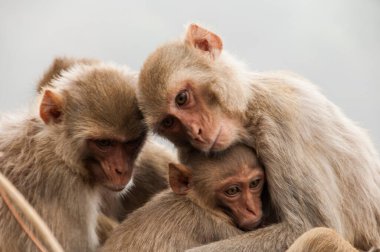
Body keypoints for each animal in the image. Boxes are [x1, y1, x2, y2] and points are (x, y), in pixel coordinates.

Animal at [137, 23, 380, 250]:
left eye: (182, 98)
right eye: (169, 123)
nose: (196, 132)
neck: (247, 113)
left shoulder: (280, 122)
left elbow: (307, 226)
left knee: (321, 236)